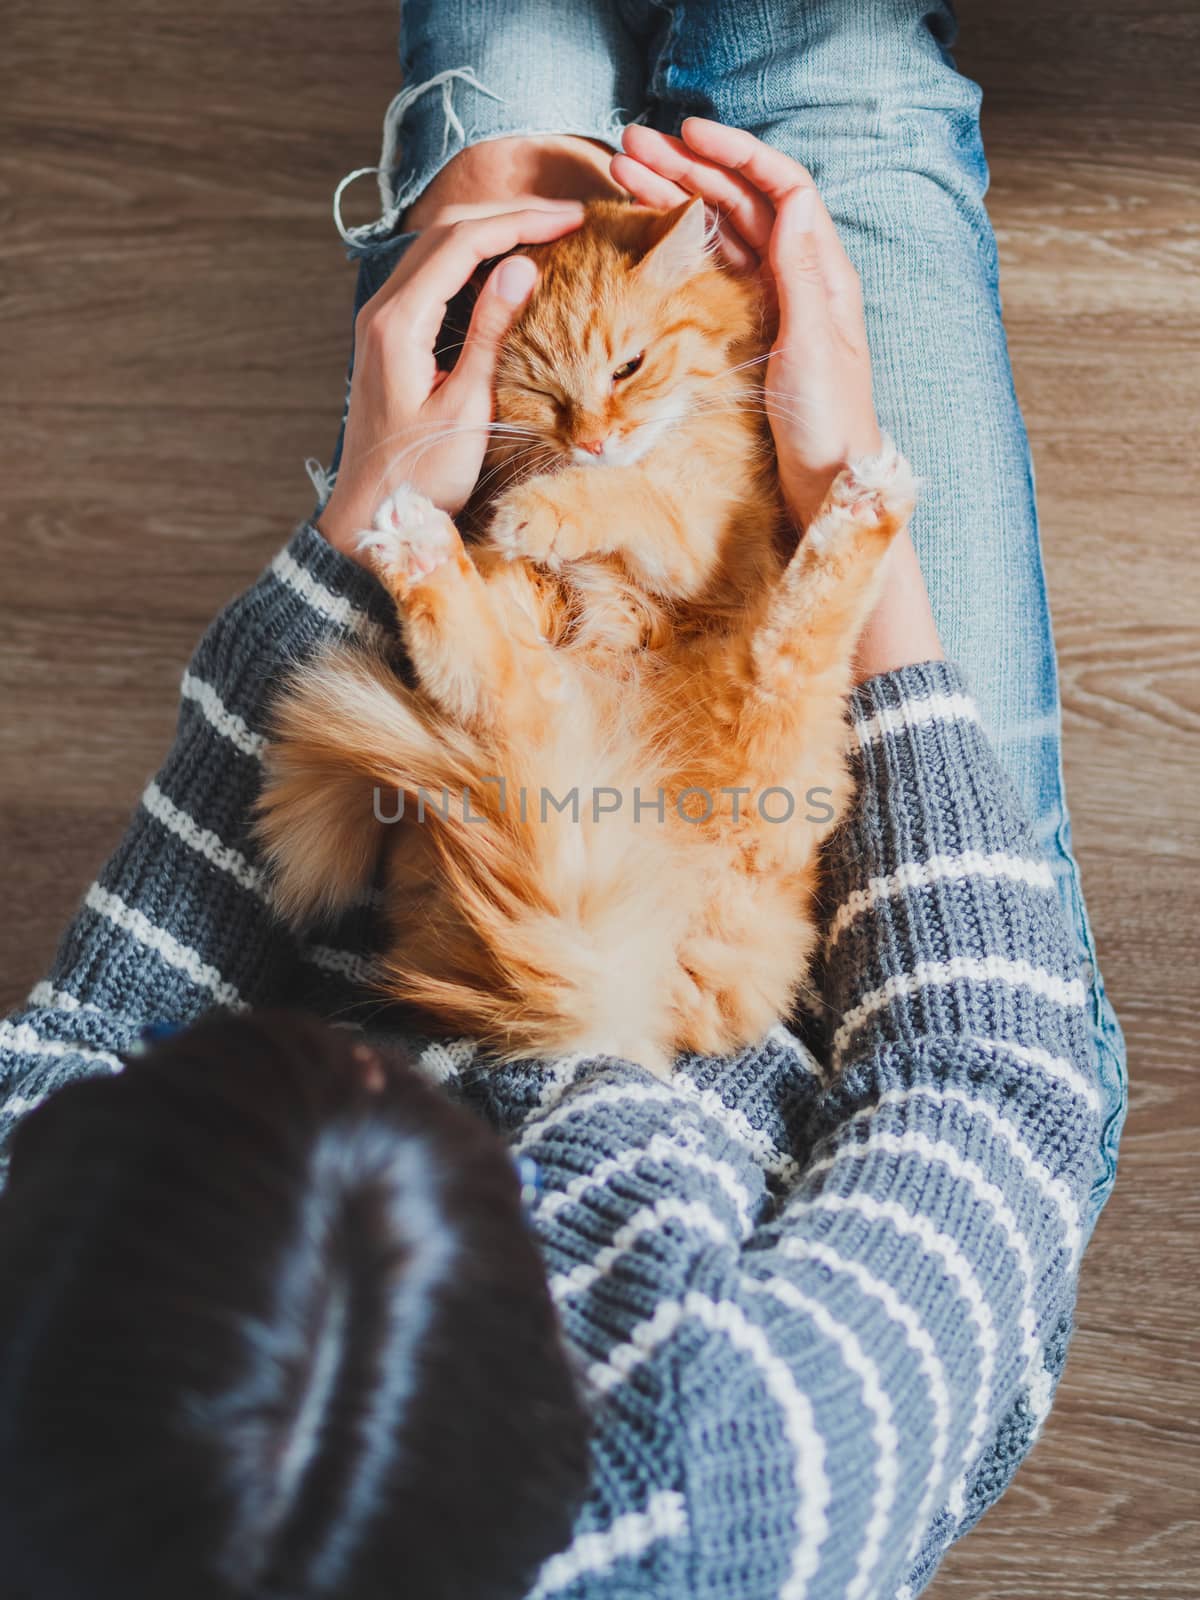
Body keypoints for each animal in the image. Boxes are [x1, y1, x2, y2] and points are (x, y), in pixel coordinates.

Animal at [254, 200, 908, 1075]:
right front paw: (530, 516)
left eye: (629, 367)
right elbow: (596, 511)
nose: (593, 439)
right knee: (493, 683)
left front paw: (548, 507)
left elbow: (632, 496)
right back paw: (418, 547)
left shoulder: (713, 539)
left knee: (800, 621)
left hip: (766, 704)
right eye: (543, 393)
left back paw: (868, 498)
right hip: (565, 719)